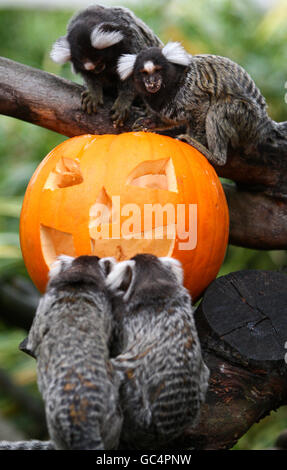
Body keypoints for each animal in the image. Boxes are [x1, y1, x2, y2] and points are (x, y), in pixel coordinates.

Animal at [117, 42, 287, 166]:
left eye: (157, 71)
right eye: (144, 73)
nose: (151, 82)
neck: (173, 84)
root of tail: (264, 124)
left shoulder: (191, 92)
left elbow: (202, 109)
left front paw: (194, 141)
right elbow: (169, 119)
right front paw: (149, 123)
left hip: (247, 118)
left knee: (219, 110)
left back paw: (214, 157)